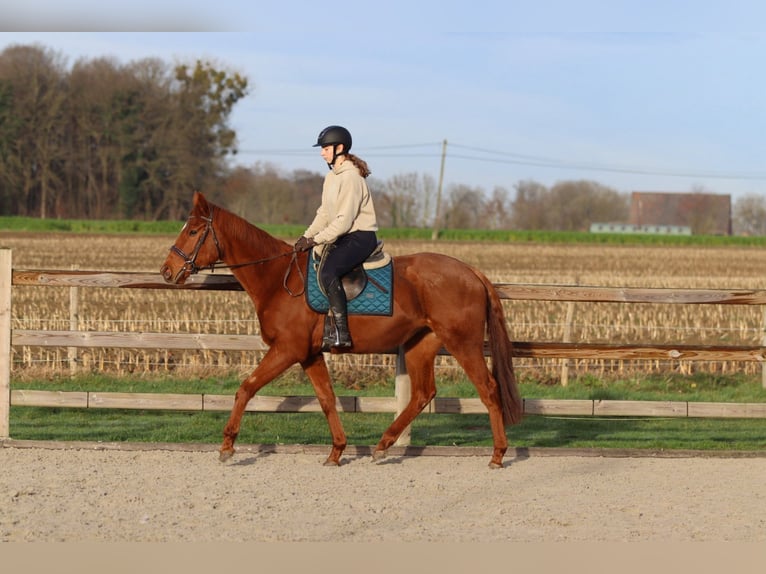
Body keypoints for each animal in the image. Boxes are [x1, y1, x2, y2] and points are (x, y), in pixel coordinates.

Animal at [160, 191, 523, 468]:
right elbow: (327, 399)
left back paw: (497, 454)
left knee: (488, 389)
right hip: (421, 345)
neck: (277, 279)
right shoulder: (308, 354)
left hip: (464, 343)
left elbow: (246, 388)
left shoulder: (287, 349)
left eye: (192, 231)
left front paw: (227, 446)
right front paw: (336, 451)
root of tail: (471, 272)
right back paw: (383, 445)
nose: (167, 270)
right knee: (422, 394)